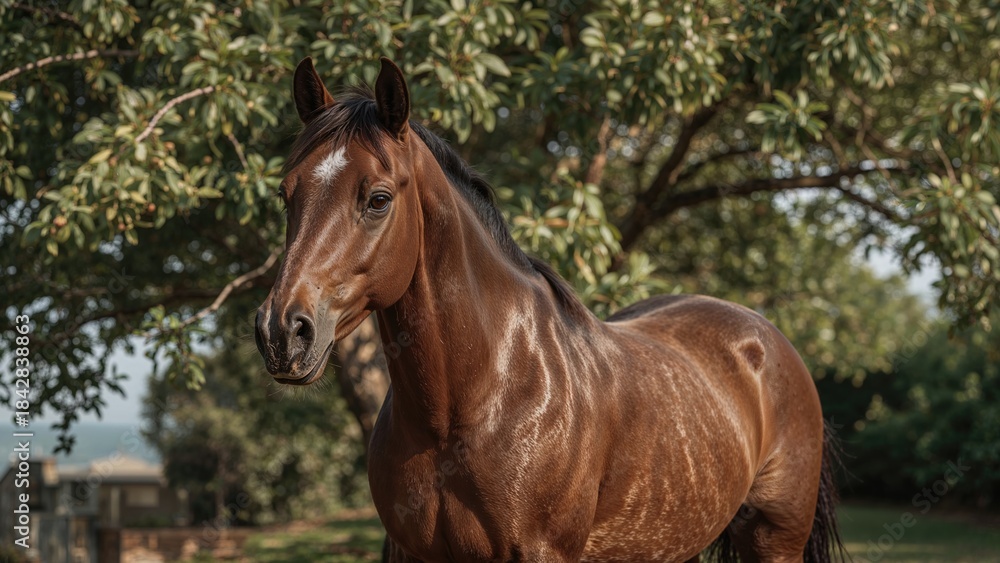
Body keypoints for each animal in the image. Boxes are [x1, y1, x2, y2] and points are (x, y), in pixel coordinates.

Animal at [254, 56, 846, 562]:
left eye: (378, 199)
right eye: (287, 194)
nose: (283, 333)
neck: (479, 400)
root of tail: (767, 339)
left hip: (774, 540)